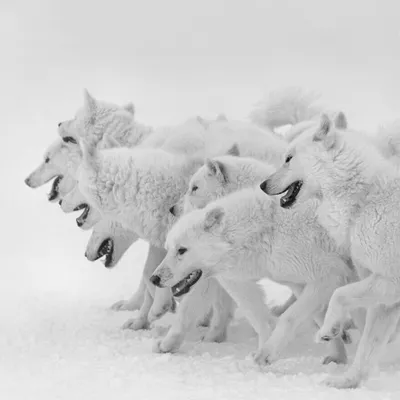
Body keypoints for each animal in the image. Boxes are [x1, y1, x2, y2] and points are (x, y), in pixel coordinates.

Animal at [151, 152, 356, 362]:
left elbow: (290, 316)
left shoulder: (328, 274)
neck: (263, 233)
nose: (154, 278)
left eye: (194, 188)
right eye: (168, 249)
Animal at [260, 115, 400, 388]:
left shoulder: (390, 280)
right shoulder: (386, 299)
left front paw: (328, 330)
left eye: (288, 158)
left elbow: (339, 294)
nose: (262, 185)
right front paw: (347, 382)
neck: (363, 199)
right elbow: (367, 348)